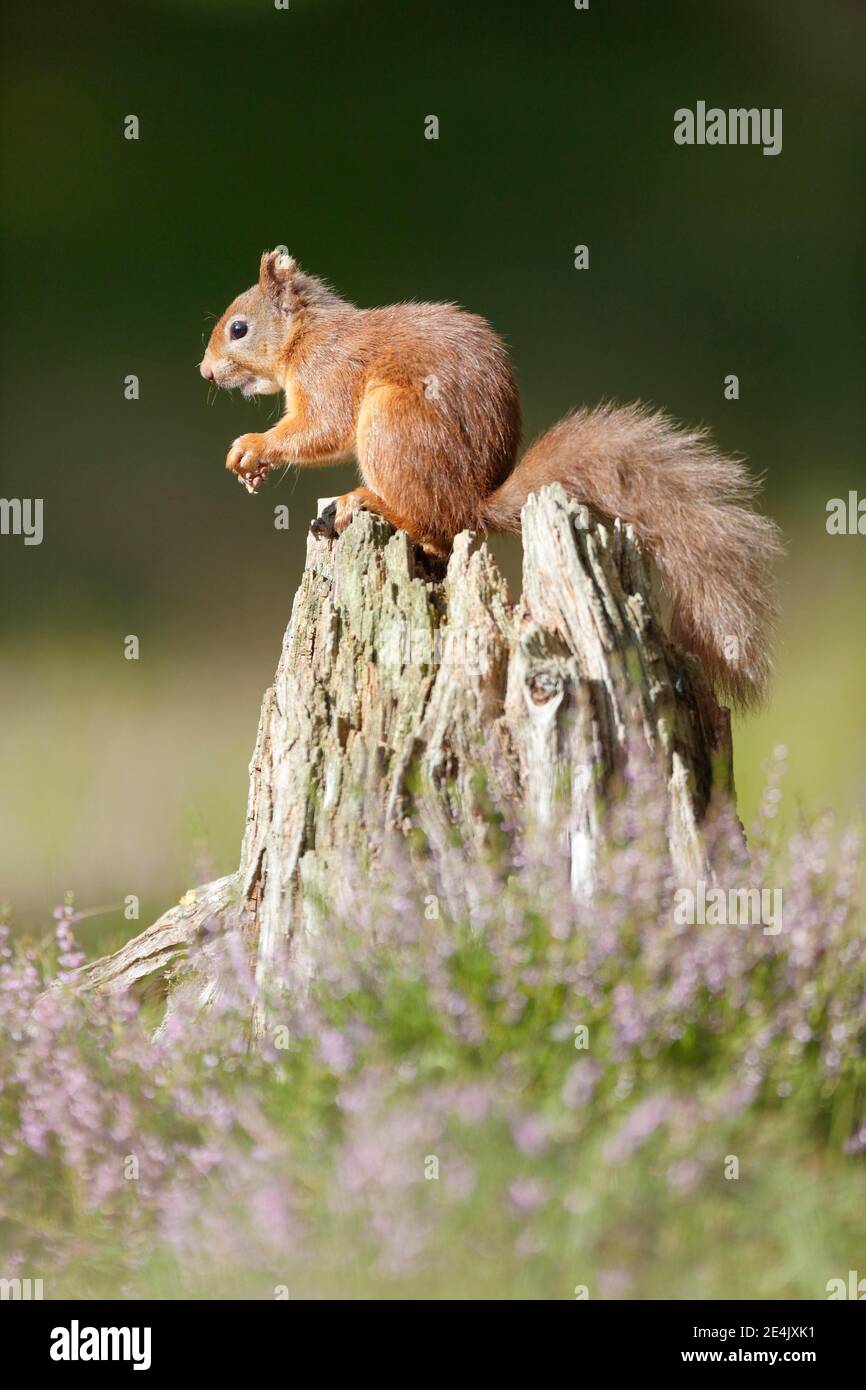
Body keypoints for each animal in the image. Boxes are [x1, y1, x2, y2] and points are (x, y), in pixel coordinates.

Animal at [200, 248, 783, 706]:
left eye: (238, 328)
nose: (205, 372)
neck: (307, 335)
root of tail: (472, 501)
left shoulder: (330, 376)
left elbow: (321, 428)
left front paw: (254, 447)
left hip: (392, 423)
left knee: (435, 531)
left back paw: (368, 502)